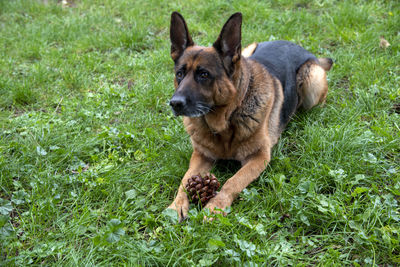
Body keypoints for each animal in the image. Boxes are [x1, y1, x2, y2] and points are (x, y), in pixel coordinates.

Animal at [166, 11, 332, 221]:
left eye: (204, 74)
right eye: (179, 74)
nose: (175, 103)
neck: (226, 122)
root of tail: (301, 48)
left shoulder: (259, 157)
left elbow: (233, 181)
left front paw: (215, 207)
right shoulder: (201, 155)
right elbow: (185, 178)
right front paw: (177, 204)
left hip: (312, 82)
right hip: (247, 50)